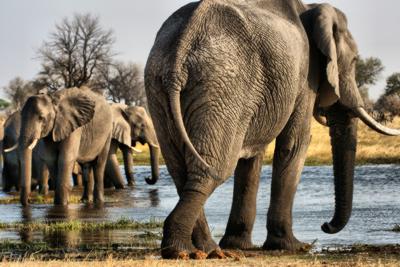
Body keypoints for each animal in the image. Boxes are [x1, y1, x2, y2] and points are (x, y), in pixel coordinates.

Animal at [145, 0, 400, 260]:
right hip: (222, 86)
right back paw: (186, 251)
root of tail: (183, 43)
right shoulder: (304, 76)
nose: (325, 226)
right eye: (355, 61)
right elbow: (295, 143)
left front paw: (240, 245)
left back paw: (206, 250)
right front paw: (294, 246)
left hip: (160, 87)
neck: (311, 9)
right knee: (213, 167)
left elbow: (252, 159)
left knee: (181, 170)